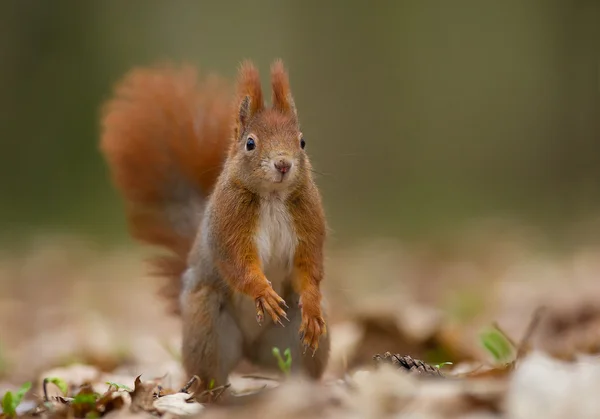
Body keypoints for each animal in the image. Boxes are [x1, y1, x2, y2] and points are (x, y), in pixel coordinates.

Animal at [100, 59, 330, 394]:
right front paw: (263, 291)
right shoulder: (227, 226)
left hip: (293, 338)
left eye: (302, 141)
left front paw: (311, 304)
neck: (274, 197)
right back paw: (213, 394)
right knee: (209, 372)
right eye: (250, 143)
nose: (283, 164)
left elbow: (309, 264)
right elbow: (236, 262)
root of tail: (250, 352)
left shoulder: (308, 222)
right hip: (207, 325)